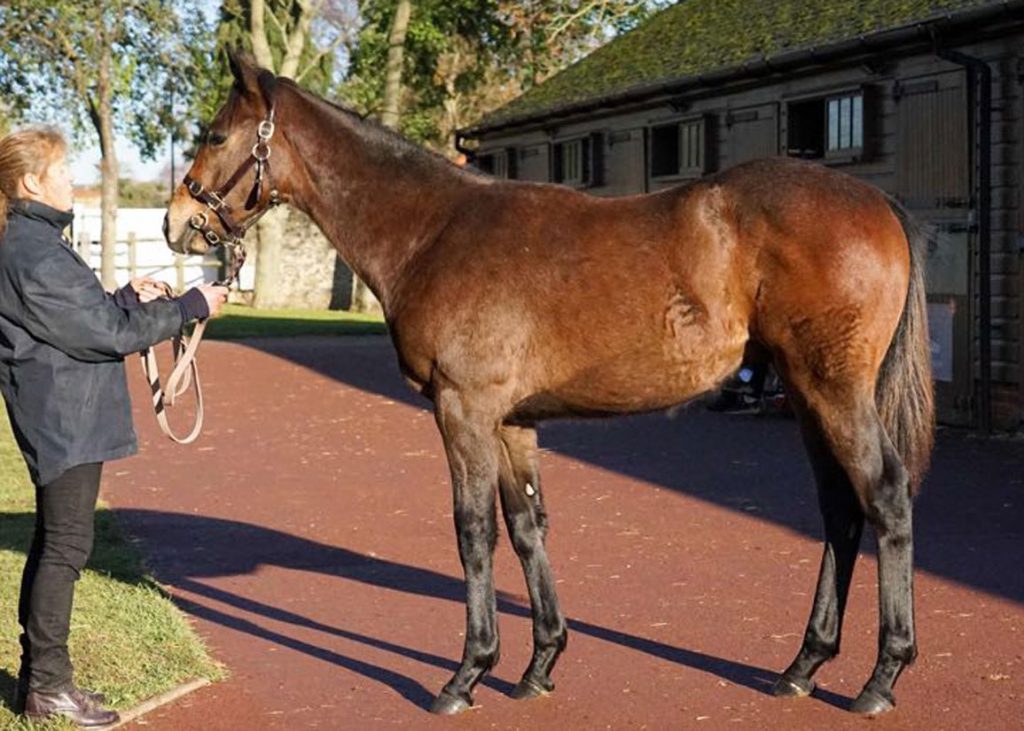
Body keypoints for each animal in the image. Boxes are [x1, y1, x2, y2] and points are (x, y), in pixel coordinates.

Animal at [164, 51, 934, 718]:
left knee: (885, 495)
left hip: (833, 389)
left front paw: (467, 672)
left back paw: (881, 675)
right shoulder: (511, 421)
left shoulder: (463, 410)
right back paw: (804, 664)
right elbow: (527, 526)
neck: (434, 230)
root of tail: (878, 202)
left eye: (215, 134)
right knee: (840, 508)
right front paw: (539, 664)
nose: (178, 223)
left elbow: (474, 531)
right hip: (807, 394)